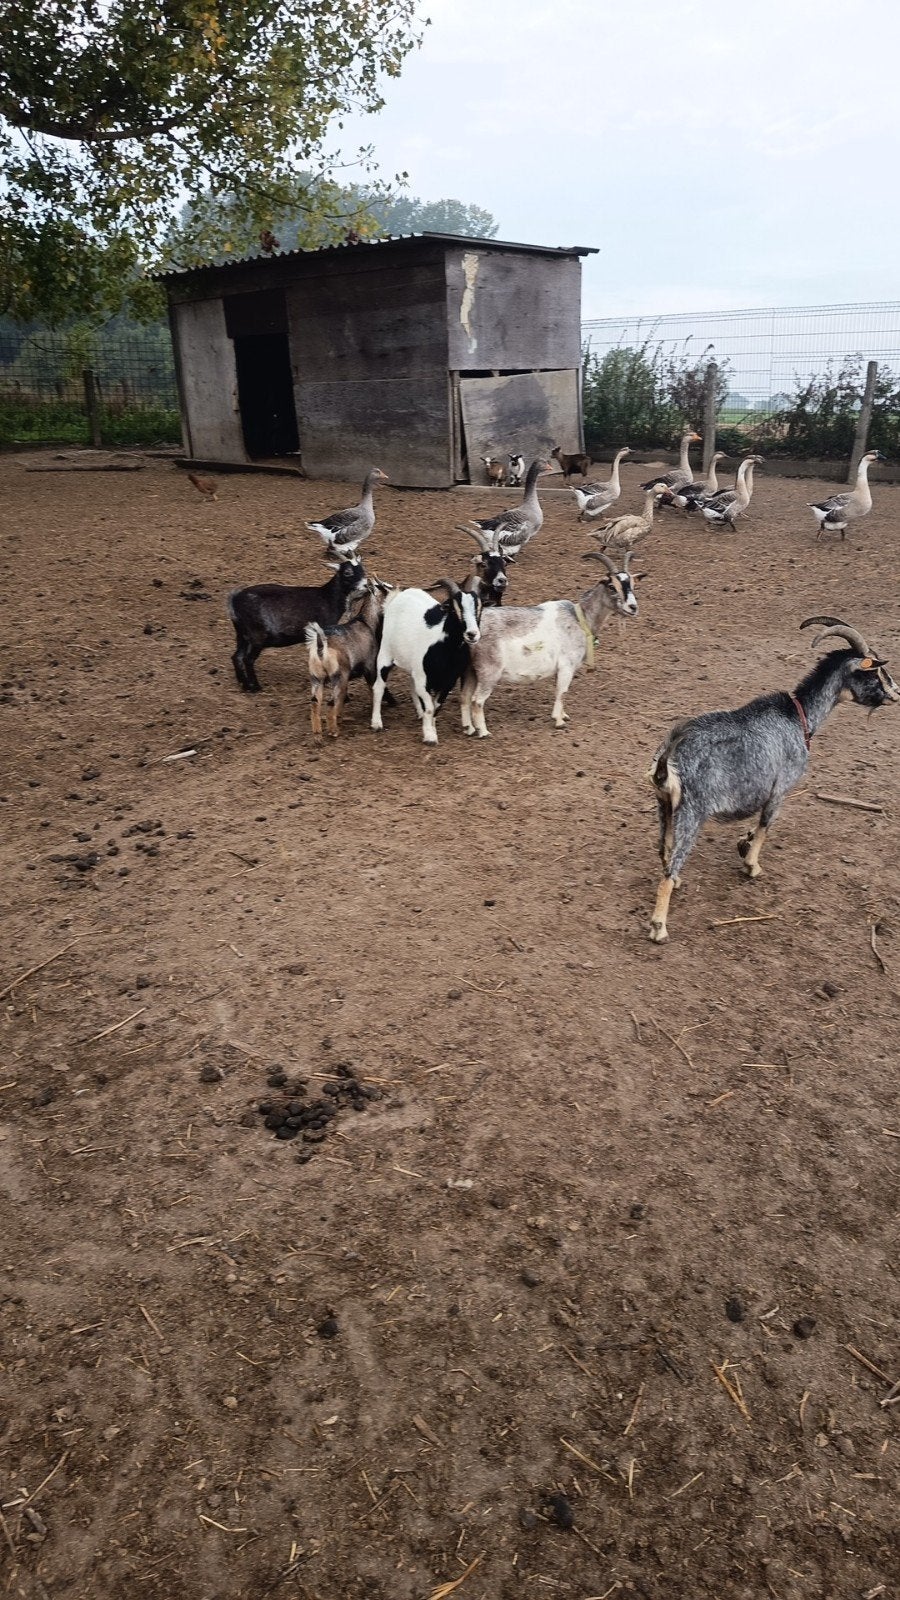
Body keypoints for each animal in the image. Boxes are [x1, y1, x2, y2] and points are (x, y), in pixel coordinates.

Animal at [228, 546, 367, 692]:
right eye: (347, 572)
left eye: (362, 570)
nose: (366, 585)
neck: (328, 598)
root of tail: (235, 599)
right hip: (257, 636)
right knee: (248, 659)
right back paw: (255, 687)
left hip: (242, 634)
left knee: (237, 657)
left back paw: (244, 684)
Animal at [305, 579, 393, 739]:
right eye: (384, 588)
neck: (366, 622)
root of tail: (321, 646)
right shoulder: (370, 667)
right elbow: (372, 689)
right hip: (339, 678)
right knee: (331, 702)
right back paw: (333, 730)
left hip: (316, 678)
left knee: (315, 703)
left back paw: (318, 734)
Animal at [371, 580, 482, 744]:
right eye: (454, 609)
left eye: (479, 608)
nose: (472, 634)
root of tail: (397, 596)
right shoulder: (423, 680)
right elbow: (429, 707)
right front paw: (430, 736)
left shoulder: (448, 682)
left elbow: (436, 707)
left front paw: (431, 727)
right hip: (385, 654)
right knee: (379, 686)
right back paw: (376, 723)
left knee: (411, 684)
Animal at [460, 551, 641, 737]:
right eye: (612, 586)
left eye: (633, 585)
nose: (633, 607)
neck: (580, 618)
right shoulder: (567, 665)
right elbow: (562, 692)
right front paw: (559, 721)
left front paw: (563, 715)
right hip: (489, 670)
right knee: (476, 700)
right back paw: (483, 732)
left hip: (470, 669)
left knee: (464, 697)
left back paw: (469, 728)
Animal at [647, 616, 899, 943]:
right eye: (876, 671)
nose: (896, 693)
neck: (798, 717)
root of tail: (669, 757)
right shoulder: (780, 788)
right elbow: (766, 825)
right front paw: (752, 866)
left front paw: (744, 843)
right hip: (693, 811)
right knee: (670, 866)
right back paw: (659, 927)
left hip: (664, 805)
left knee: (664, 850)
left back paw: (675, 882)